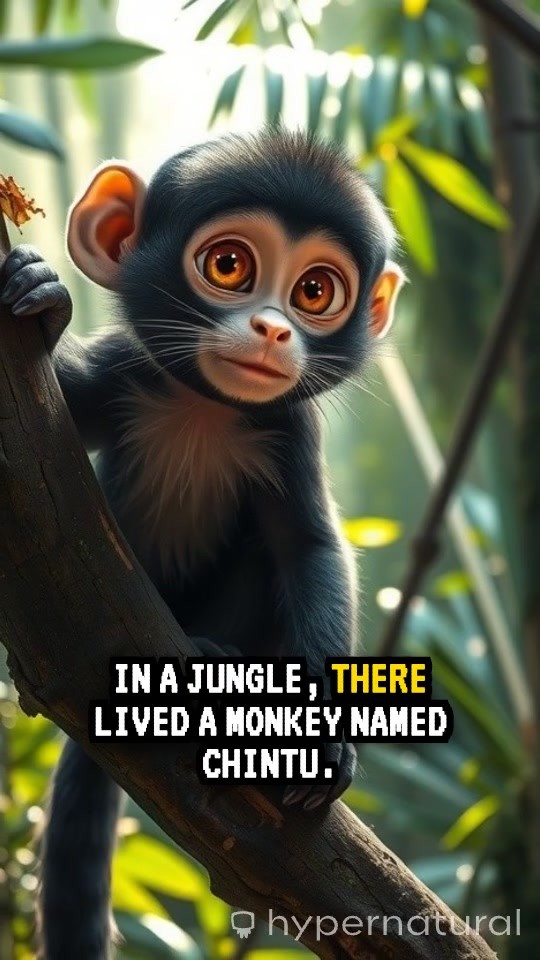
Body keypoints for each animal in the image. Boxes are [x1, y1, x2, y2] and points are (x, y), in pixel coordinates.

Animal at [0, 129, 403, 960]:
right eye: (228, 266)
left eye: (315, 292)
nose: (274, 330)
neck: (205, 409)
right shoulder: (123, 373)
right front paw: (42, 298)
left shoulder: (287, 430)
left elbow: (310, 551)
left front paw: (324, 729)